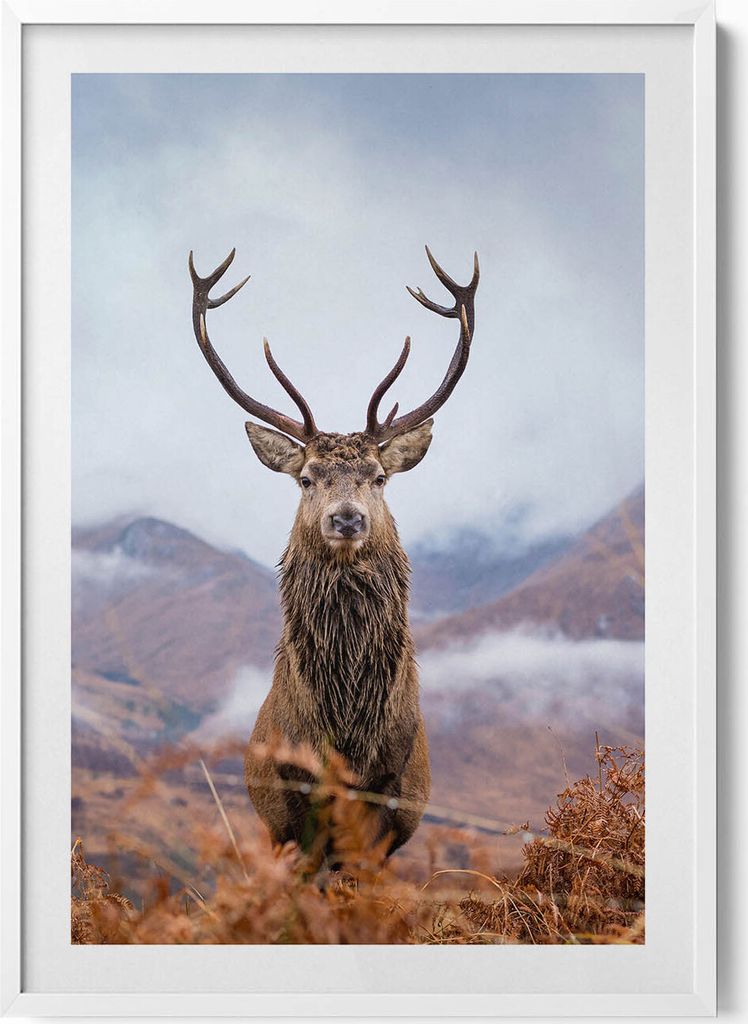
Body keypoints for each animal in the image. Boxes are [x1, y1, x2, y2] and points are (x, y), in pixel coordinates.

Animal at [189, 244, 479, 857]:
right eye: (306, 478)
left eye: (378, 478)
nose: (347, 518)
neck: (346, 738)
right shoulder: (290, 807)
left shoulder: (388, 805)